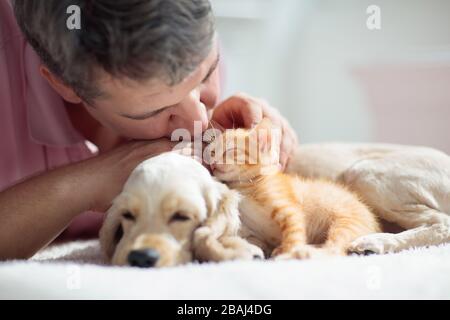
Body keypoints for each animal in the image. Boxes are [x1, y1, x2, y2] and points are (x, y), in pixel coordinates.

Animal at [207, 119, 380, 258]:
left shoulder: (289, 208)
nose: (212, 164)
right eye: (213, 152)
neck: (246, 185)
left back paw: (304, 253)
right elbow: (251, 239)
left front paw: (289, 251)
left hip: (347, 223)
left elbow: (294, 231)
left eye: (230, 151)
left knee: (335, 251)